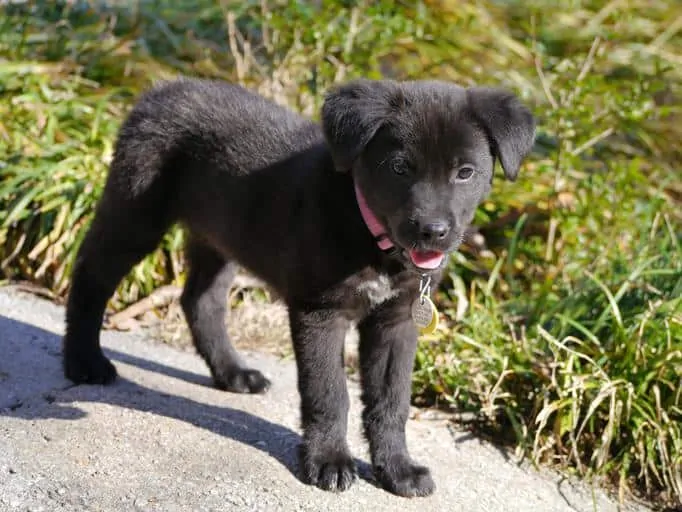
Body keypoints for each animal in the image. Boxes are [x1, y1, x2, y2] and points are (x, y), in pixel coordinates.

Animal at [62, 78, 532, 498]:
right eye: (400, 168)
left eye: (465, 173)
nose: (433, 233)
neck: (371, 235)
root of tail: (160, 89)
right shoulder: (320, 311)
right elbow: (330, 392)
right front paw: (328, 460)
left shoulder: (396, 322)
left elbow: (391, 400)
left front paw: (396, 469)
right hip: (137, 210)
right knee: (90, 275)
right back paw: (85, 362)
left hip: (221, 234)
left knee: (200, 299)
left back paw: (232, 372)